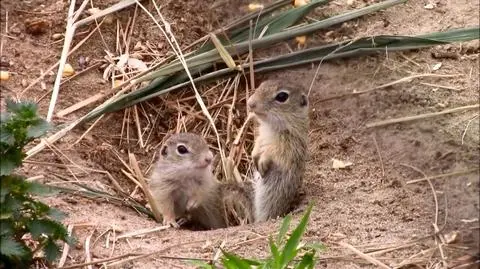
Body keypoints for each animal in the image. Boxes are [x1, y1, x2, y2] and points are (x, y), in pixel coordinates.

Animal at [246, 78, 310, 221]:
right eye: (262, 84)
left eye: (282, 96)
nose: (250, 103)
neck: (271, 125)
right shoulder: (261, 137)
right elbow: (257, 145)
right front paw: (254, 157)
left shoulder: (288, 144)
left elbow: (273, 152)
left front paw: (262, 163)